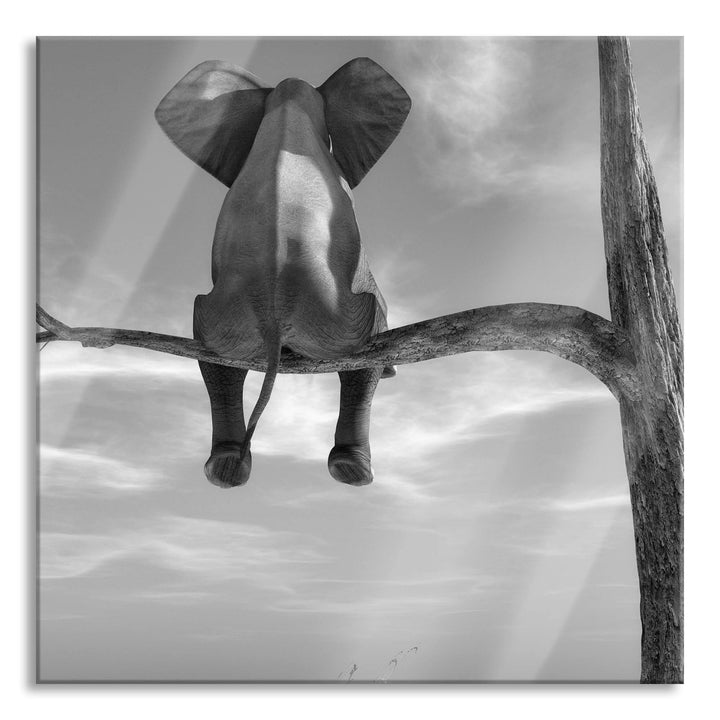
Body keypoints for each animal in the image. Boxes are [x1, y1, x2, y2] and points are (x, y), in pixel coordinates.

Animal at [155, 57, 411, 488]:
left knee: (216, 359)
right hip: (339, 318)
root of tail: (273, 314)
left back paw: (225, 469)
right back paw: (353, 471)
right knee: (365, 347)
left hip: (223, 318)